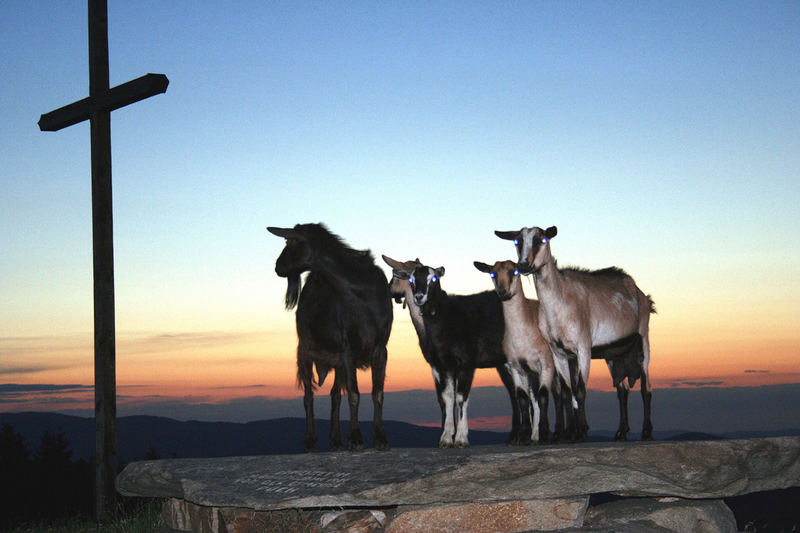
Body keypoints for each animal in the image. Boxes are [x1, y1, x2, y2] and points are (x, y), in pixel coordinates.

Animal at [268, 222, 394, 450]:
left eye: (289, 241)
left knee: (335, 395)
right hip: (305, 350)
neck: (361, 292)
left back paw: (335, 439)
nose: (277, 266)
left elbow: (377, 393)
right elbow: (354, 394)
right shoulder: (348, 349)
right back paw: (310, 441)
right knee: (308, 396)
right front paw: (356, 438)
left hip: (336, 362)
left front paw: (380, 437)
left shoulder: (380, 348)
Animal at [382, 256, 536, 446]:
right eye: (411, 279)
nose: (419, 297)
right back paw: (517, 436)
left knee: (531, 391)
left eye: (433, 278)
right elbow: (446, 398)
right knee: (517, 393)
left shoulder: (465, 363)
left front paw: (461, 438)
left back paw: (533, 435)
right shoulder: (441, 365)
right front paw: (446, 437)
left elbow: (461, 398)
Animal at [494, 227, 656, 438]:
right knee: (622, 390)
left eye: (541, 239)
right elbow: (566, 391)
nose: (523, 265)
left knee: (646, 388)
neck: (561, 300)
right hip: (614, 354)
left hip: (643, 338)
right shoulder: (559, 353)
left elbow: (580, 390)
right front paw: (570, 433)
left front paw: (581, 431)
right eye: (517, 241)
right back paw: (621, 431)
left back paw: (646, 430)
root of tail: (643, 296)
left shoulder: (583, 348)